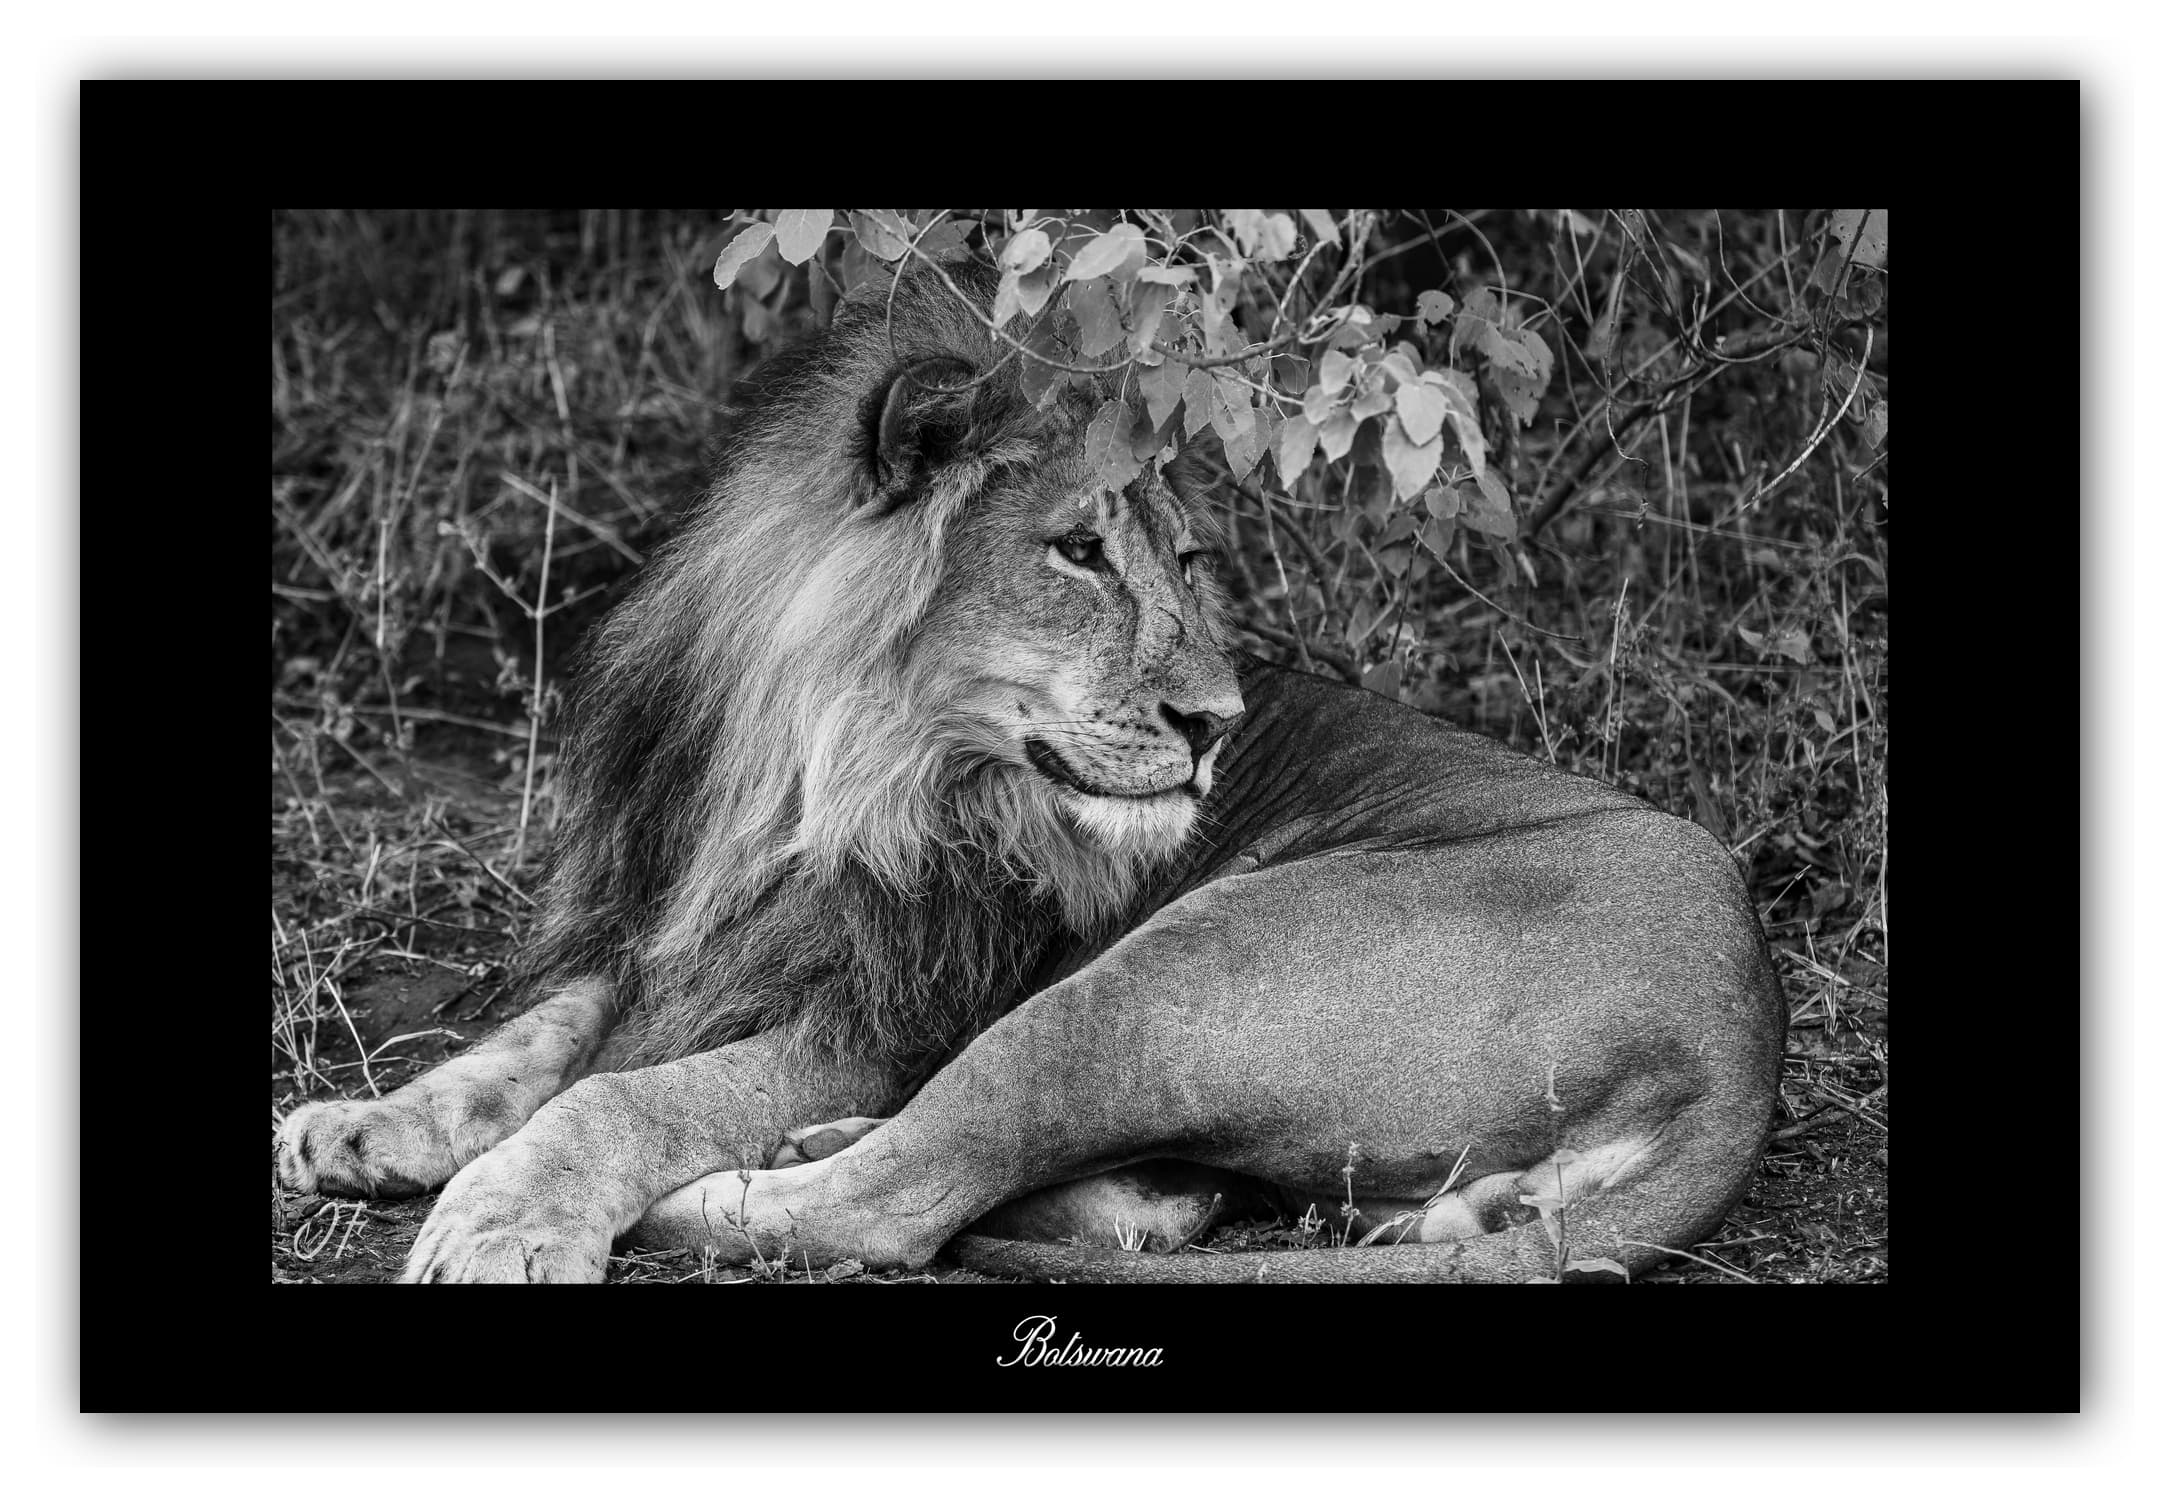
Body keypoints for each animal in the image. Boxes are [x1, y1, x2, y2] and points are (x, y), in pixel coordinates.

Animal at [274, 258, 1785, 1283]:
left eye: (1183, 558)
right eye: (1077, 552)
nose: (1217, 718)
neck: (803, 779)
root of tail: (1743, 1038)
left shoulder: (877, 1016)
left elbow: (623, 1093)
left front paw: (505, 1216)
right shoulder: (670, 936)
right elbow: (528, 1041)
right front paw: (360, 1126)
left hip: (1183, 963)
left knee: (905, 1194)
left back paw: (731, 1191)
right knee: (1099, 1194)